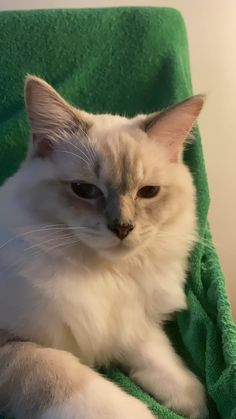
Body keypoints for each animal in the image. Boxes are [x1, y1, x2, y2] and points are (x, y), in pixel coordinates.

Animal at [0, 76, 208, 419]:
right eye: (84, 190)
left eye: (148, 192)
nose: (123, 228)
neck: (105, 275)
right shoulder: (15, 347)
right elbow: (65, 376)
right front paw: (140, 411)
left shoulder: (131, 319)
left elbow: (157, 353)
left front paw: (194, 401)